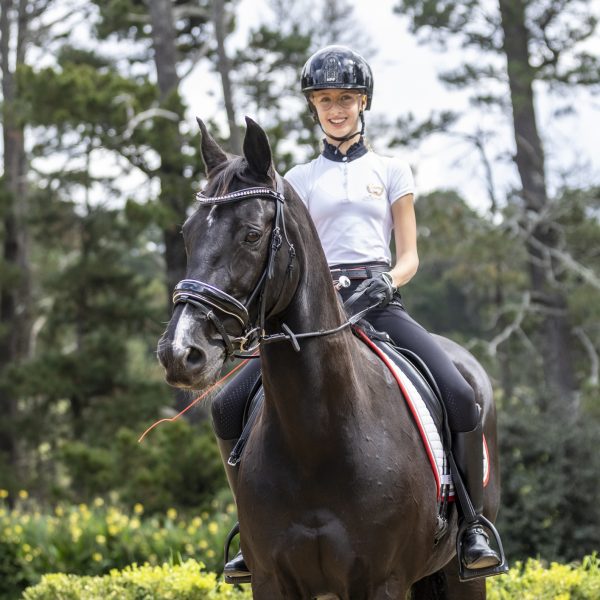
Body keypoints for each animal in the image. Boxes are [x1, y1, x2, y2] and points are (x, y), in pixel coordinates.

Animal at [158, 118, 502, 600]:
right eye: (188, 233)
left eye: (251, 234)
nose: (180, 352)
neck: (316, 439)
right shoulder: (271, 580)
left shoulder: (380, 582)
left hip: (459, 573)